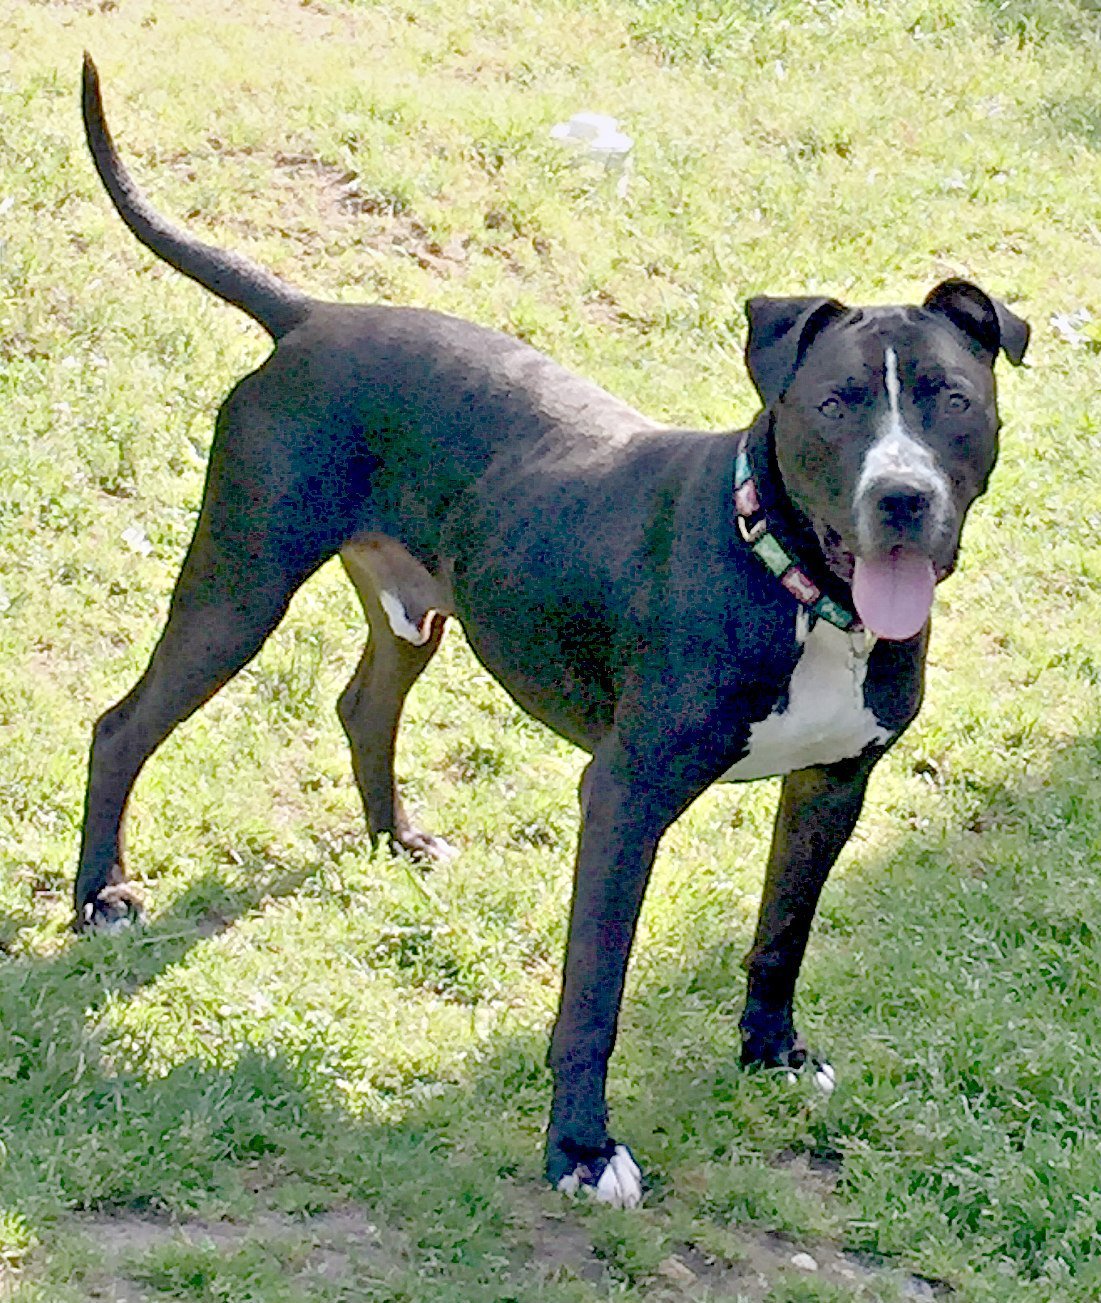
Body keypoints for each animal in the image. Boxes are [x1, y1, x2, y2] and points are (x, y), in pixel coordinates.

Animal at [72, 56, 1026, 1203]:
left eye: (951, 400)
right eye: (837, 402)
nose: (902, 497)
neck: (797, 586)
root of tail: (310, 316)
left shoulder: (833, 783)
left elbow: (781, 934)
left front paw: (770, 1053)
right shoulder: (624, 796)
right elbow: (595, 994)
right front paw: (580, 1147)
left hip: (410, 608)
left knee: (361, 704)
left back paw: (395, 836)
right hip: (238, 589)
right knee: (122, 725)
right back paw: (100, 896)